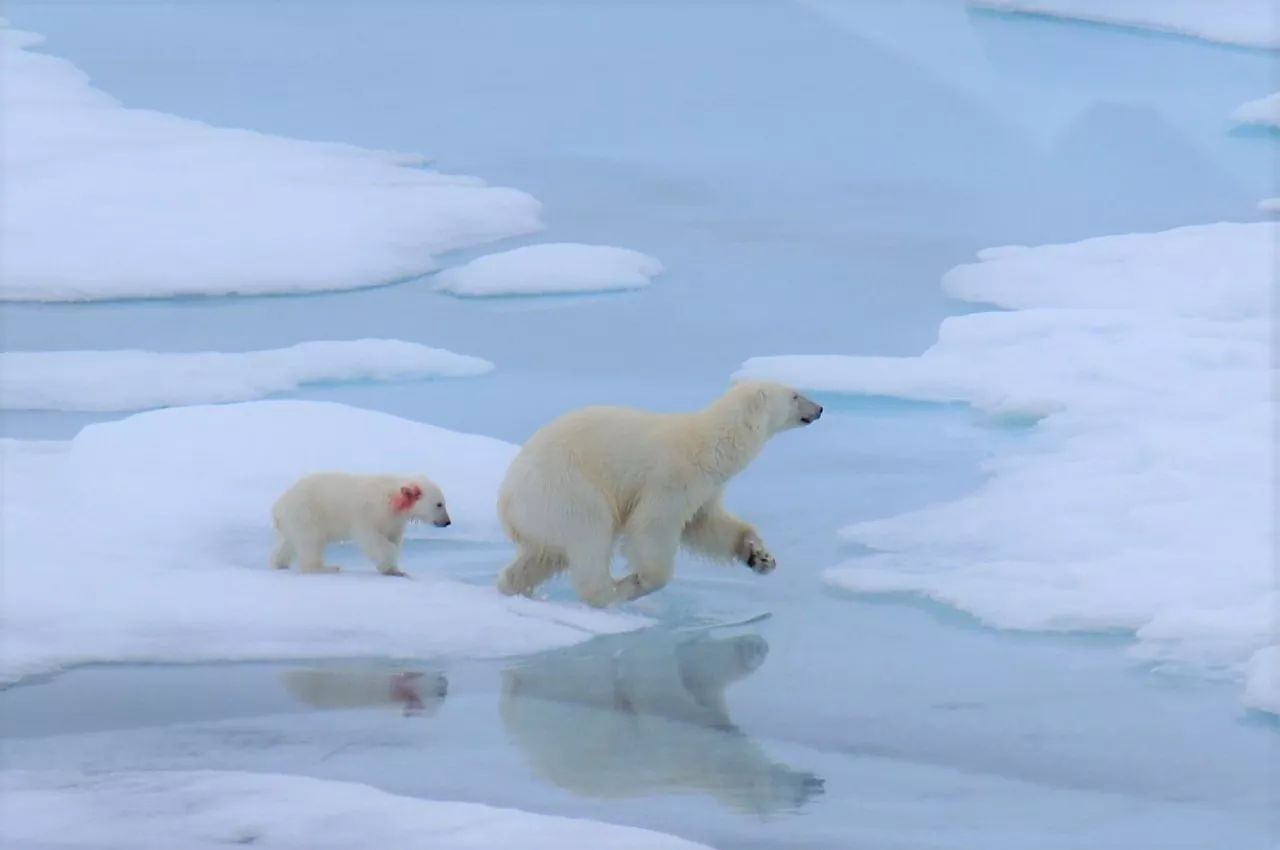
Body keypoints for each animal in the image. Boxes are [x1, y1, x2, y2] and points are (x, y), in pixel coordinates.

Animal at [494, 381, 824, 606]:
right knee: (590, 534)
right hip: (565, 489)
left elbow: (706, 526)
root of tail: (506, 500)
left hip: (541, 516)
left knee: (544, 555)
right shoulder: (673, 477)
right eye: (795, 395)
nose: (820, 408)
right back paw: (615, 590)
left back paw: (513, 586)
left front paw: (760, 556)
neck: (711, 445)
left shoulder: (707, 487)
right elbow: (652, 526)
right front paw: (643, 580)